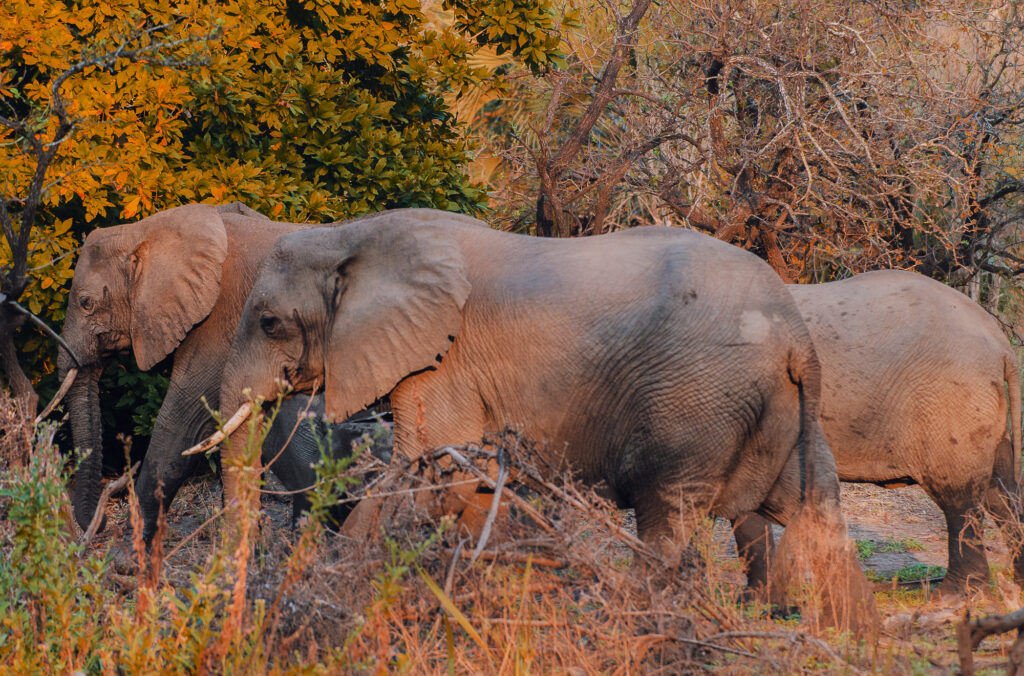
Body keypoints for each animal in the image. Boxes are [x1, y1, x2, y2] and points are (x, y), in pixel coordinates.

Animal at [56, 202, 375, 540]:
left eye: (86, 302)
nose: (100, 521)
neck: (145, 231)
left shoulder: (221, 317)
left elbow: (182, 421)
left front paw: (133, 546)